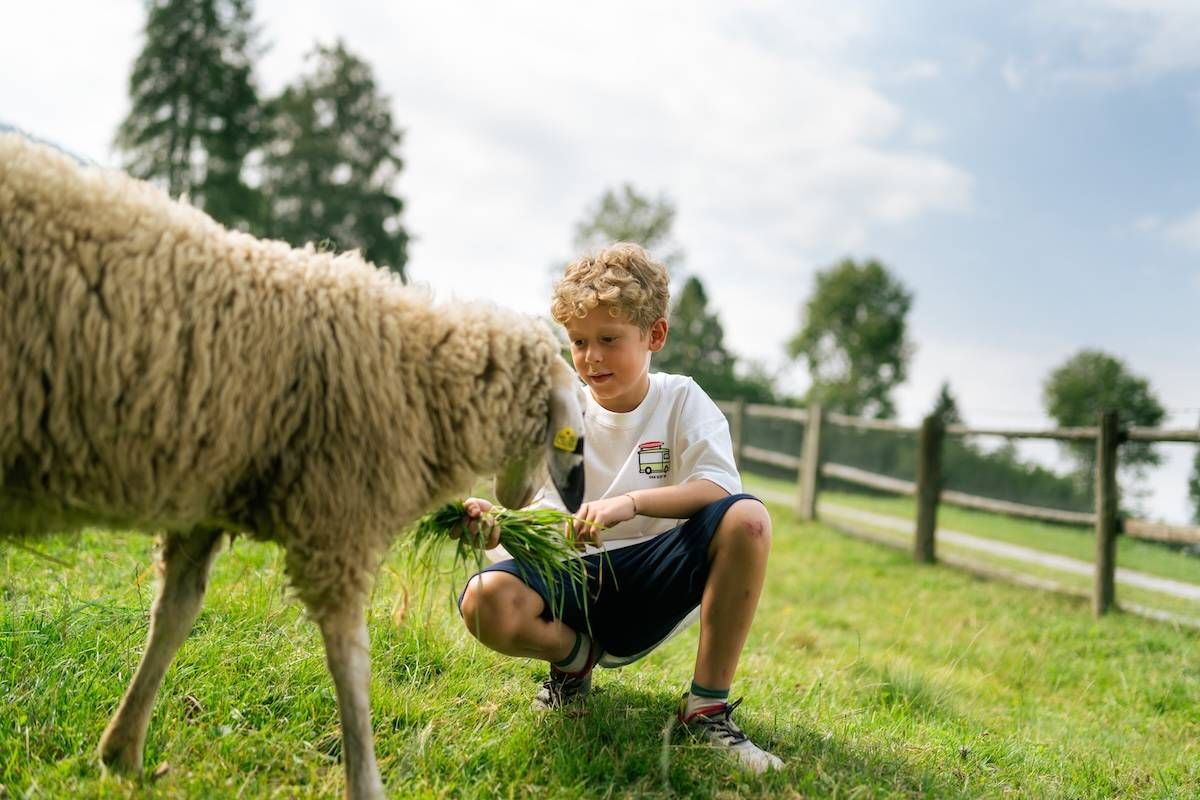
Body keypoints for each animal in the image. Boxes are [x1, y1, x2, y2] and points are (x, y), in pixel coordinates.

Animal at [0, 132, 585, 800]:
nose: (523, 500)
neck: (415, 374)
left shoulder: (209, 499)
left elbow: (174, 614)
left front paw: (122, 749)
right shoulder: (337, 520)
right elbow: (351, 661)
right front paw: (367, 780)